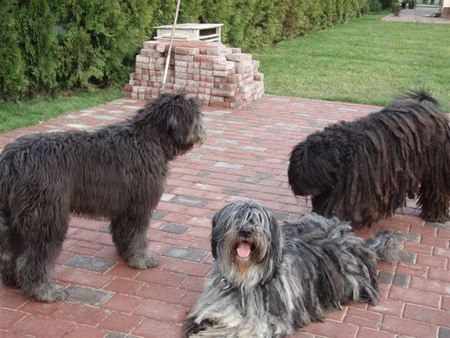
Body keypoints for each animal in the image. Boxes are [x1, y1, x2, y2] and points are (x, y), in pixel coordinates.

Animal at [0, 92, 207, 302]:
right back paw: (44, 291)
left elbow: (124, 233)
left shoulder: (124, 208)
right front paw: (142, 259)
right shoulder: (139, 206)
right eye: (195, 114)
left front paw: (125, 254)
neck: (150, 137)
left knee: (11, 253)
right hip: (46, 217)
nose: (202, 130)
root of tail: (10, 160)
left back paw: (12, 279)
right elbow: (138, 236)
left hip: (15, 218)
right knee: (34, 257)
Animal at [184, 199, 400, 336]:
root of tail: (356, 240)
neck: (246, 277)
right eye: (236, 219)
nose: (245, 231)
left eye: (258, 221)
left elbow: (240, 329)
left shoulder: (264, 322)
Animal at [288, 92, 450, 230]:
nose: (298, 190)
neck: (343, 152)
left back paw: (434, 215)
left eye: (306, 172)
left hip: (436, 166)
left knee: (437, 189)